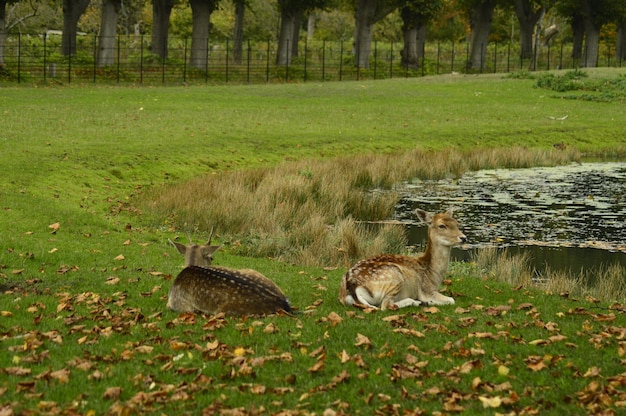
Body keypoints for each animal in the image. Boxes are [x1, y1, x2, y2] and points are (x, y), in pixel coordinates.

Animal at [336, 210, 464, 310]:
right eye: (442, 225)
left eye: (457, 223)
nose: (463, 238)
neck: (433, 275)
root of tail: (352, 286)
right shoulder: (426, 290)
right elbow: (451, 300)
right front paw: (429, 301)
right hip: (394, 276)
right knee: (385, 305)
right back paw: (420, 302)